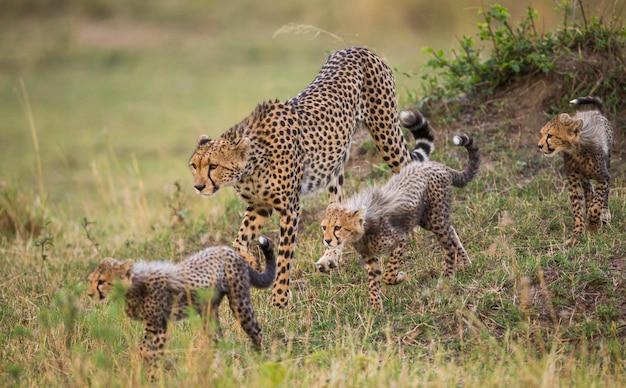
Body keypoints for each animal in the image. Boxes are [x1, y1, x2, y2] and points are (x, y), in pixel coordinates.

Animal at [86, 236, 274, 378]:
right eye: (91, 280)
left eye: (101, 281)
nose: (89, 294)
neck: (134, 285)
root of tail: (228, 250)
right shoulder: (151, 326)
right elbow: (143, 348)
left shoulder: (159, 326)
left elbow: (150, 351)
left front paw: (154, 375)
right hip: (208, 312)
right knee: (216, 339)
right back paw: (214, 367)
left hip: (239, 303)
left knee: (255, 331)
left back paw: (259, 361)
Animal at [189, 45, 434, 308]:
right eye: (194, 166)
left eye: (213, 166)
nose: (198, 187)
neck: (250, 165)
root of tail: (356, 48)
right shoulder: (259, 206)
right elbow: (239, 241)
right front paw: (255, 264)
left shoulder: (289, 209)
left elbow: (285, 255)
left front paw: (280, 299)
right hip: (335, 167)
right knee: (338, 208)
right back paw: (330, 257)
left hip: (386, 134)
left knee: (408, 169)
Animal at [316, 136, 478, 310]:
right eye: (324, 227)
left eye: (338, 227)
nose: (327, 240)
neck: (363, 231)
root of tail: (435, 165)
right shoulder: (370, 257)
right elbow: (373, 282)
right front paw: (376, 308)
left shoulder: (400, 239)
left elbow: (389, 272)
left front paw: (400, 277)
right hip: (425, 219)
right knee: (451, 231)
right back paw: (466, 262)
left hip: (435, 217)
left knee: (448, 245)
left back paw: (448, 275)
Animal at [532, 95, 612, 244]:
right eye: (541, 133)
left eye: (550, 135)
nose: (539, 146)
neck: (576, 150)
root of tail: (596, 112)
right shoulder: (574, 181)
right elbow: (577, 207)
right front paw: (578, 232)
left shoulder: (603, 177)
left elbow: (596, 203)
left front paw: (594, 224)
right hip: (585, 179)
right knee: (588, 191)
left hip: (607, 161)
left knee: (604, 194)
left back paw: (604, 212)